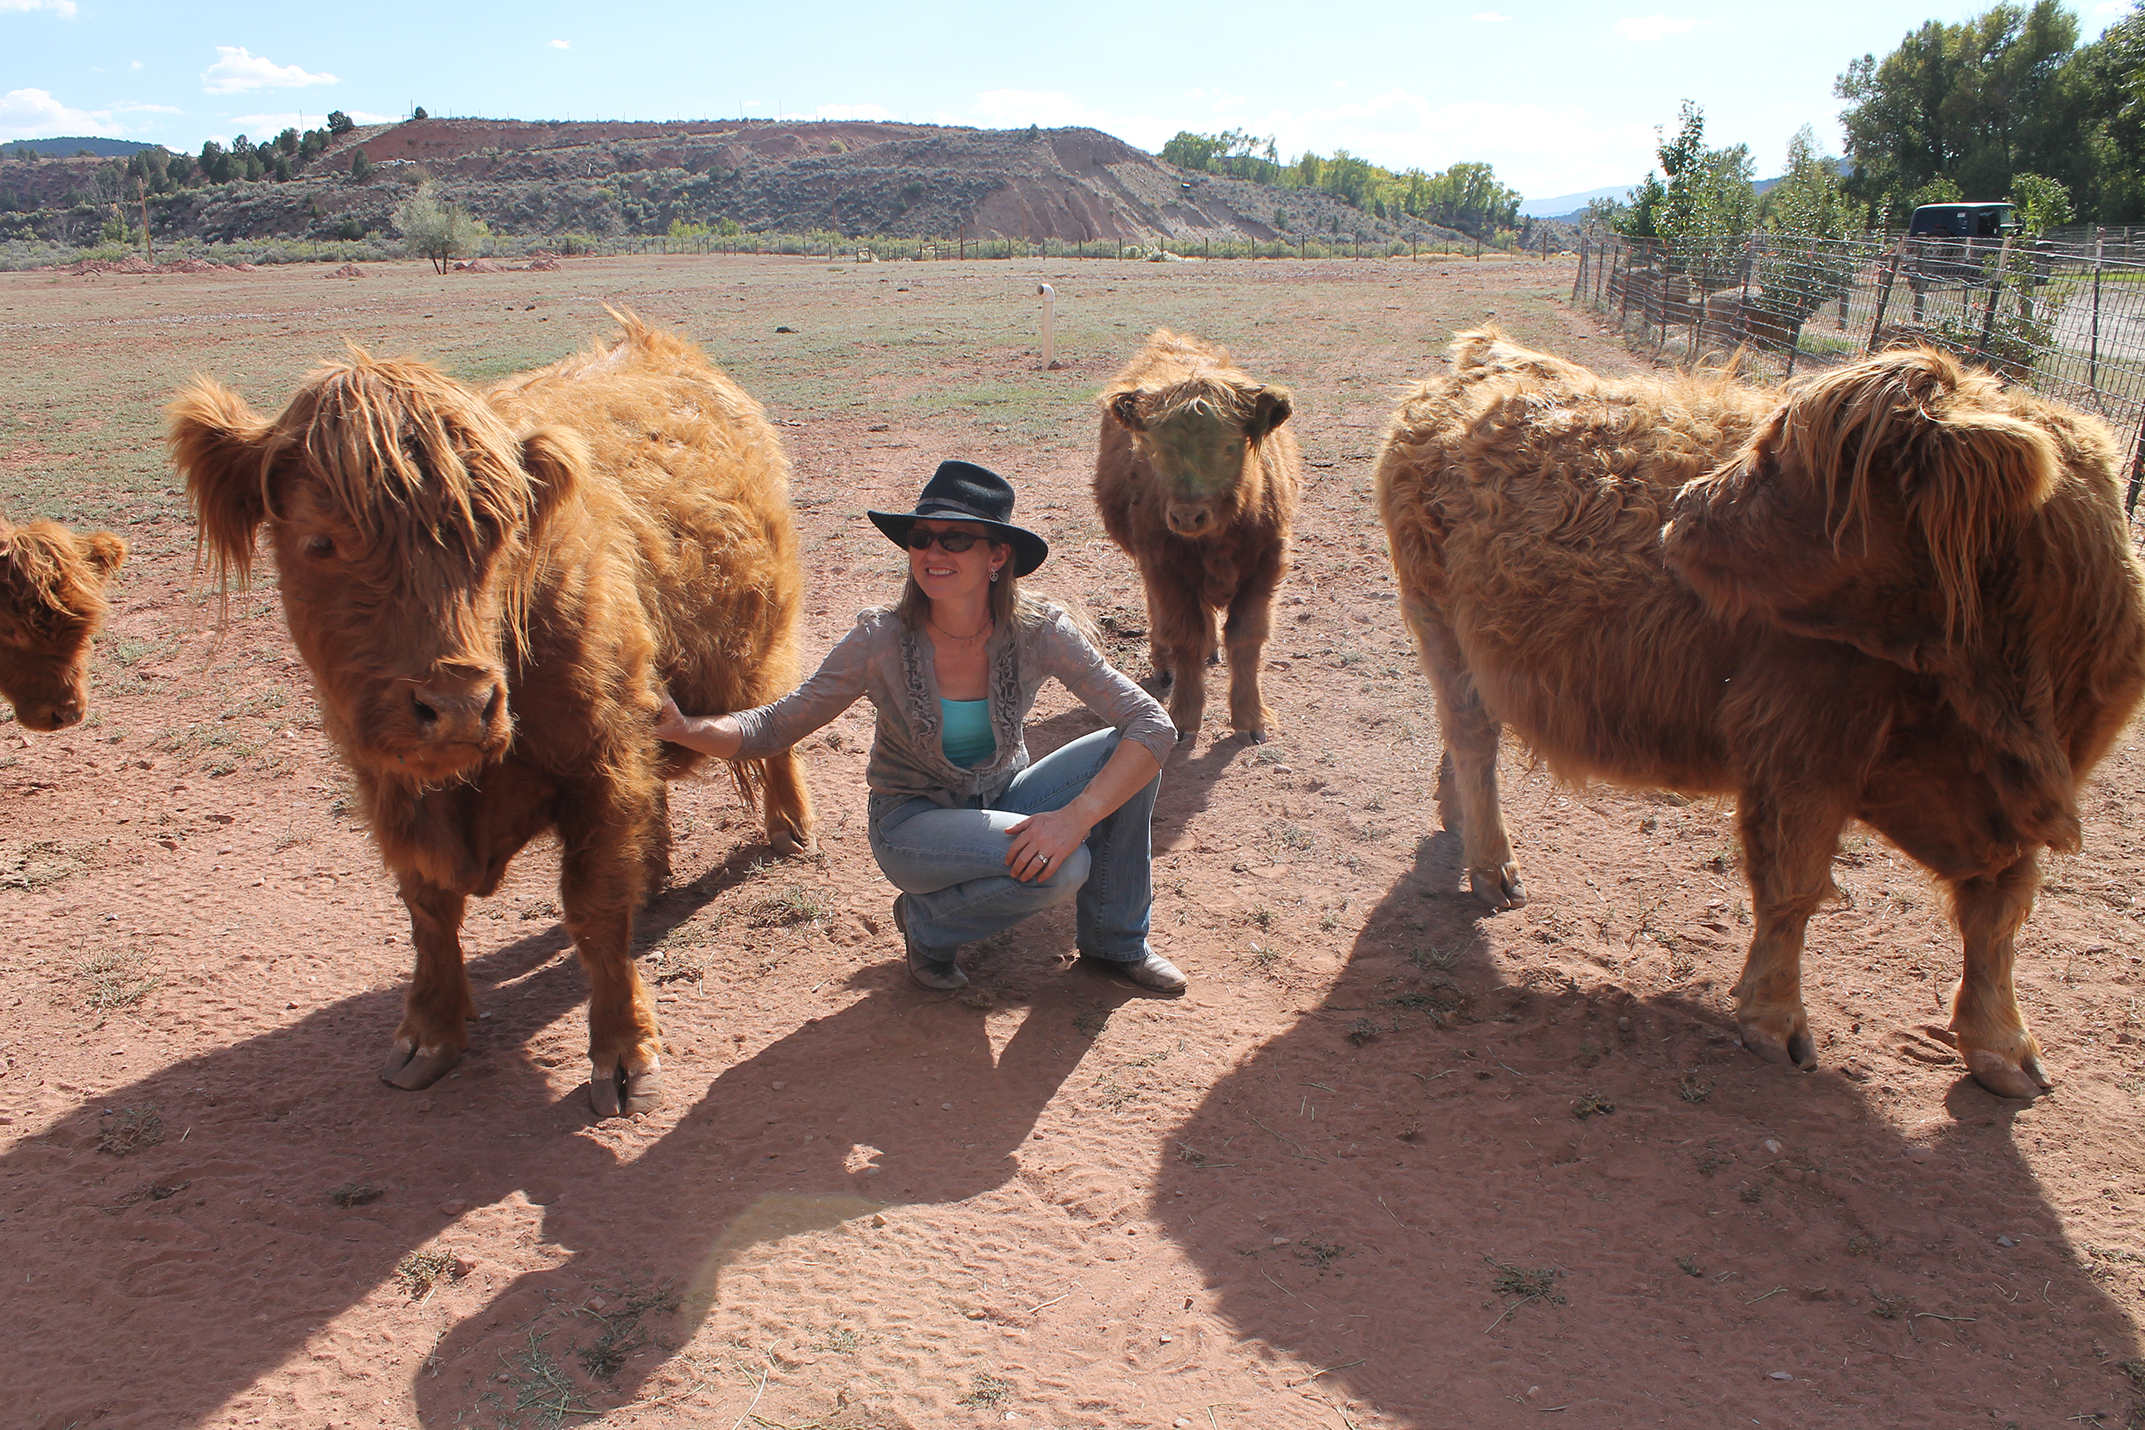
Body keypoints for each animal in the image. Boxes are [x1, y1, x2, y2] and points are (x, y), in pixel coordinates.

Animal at [167, 313, 815, 1117]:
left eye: (496, 530)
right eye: (319, 540)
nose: (456, 707)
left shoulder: (599, 762)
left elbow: (595, 911)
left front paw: (624, 1057)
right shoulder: (390, 785)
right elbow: (428, 912)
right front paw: (427, 1033)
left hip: (759, 646)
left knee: (776, 727)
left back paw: (790, 830)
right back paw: (658, 869)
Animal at [1095, 328, 1300, 744]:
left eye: (1229, 446)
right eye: (1155, 449)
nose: (1187, 514)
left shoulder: (1266, 567)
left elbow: (1246, 638)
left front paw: (1250, 718)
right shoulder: (1163, 568)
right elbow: (1184, 635)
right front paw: (1185, 717)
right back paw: (1164, 663)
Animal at [1375, 327, 2145, 1101]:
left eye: (1780, 457)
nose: (1683, 504)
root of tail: (1489, 357)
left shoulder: (2032, 794)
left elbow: (1997, 916)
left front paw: (2003, 1048)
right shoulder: (1801, 748)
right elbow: (1792, 888)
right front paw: (1774, 1020)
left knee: (1467, 738)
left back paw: (1455, 817)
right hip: (1437, 618)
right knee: (1473, 738)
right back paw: (1492, 866)